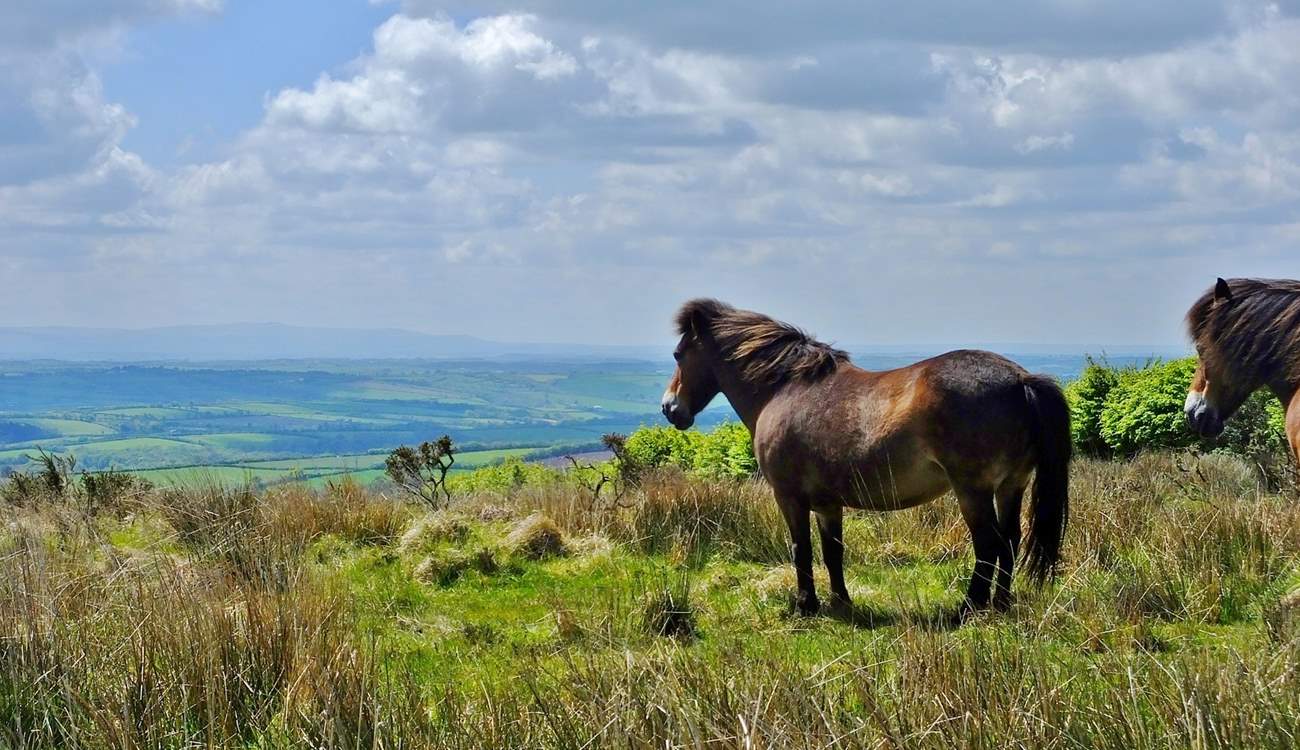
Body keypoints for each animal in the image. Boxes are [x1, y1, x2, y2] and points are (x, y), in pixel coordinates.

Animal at [660, 299, 1071, 616]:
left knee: (989, 545)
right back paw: (1000, 604)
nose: (669, 408)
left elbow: (801, 549)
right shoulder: (828, 504)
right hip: (1010, 487)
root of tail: (1020, 379)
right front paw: (841, 602)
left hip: (973, 490)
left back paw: (969, 607)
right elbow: (832, 551)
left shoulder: (789, 497)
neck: (785, 389)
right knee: (1011, 541)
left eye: (679, 354)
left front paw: (805, 605)